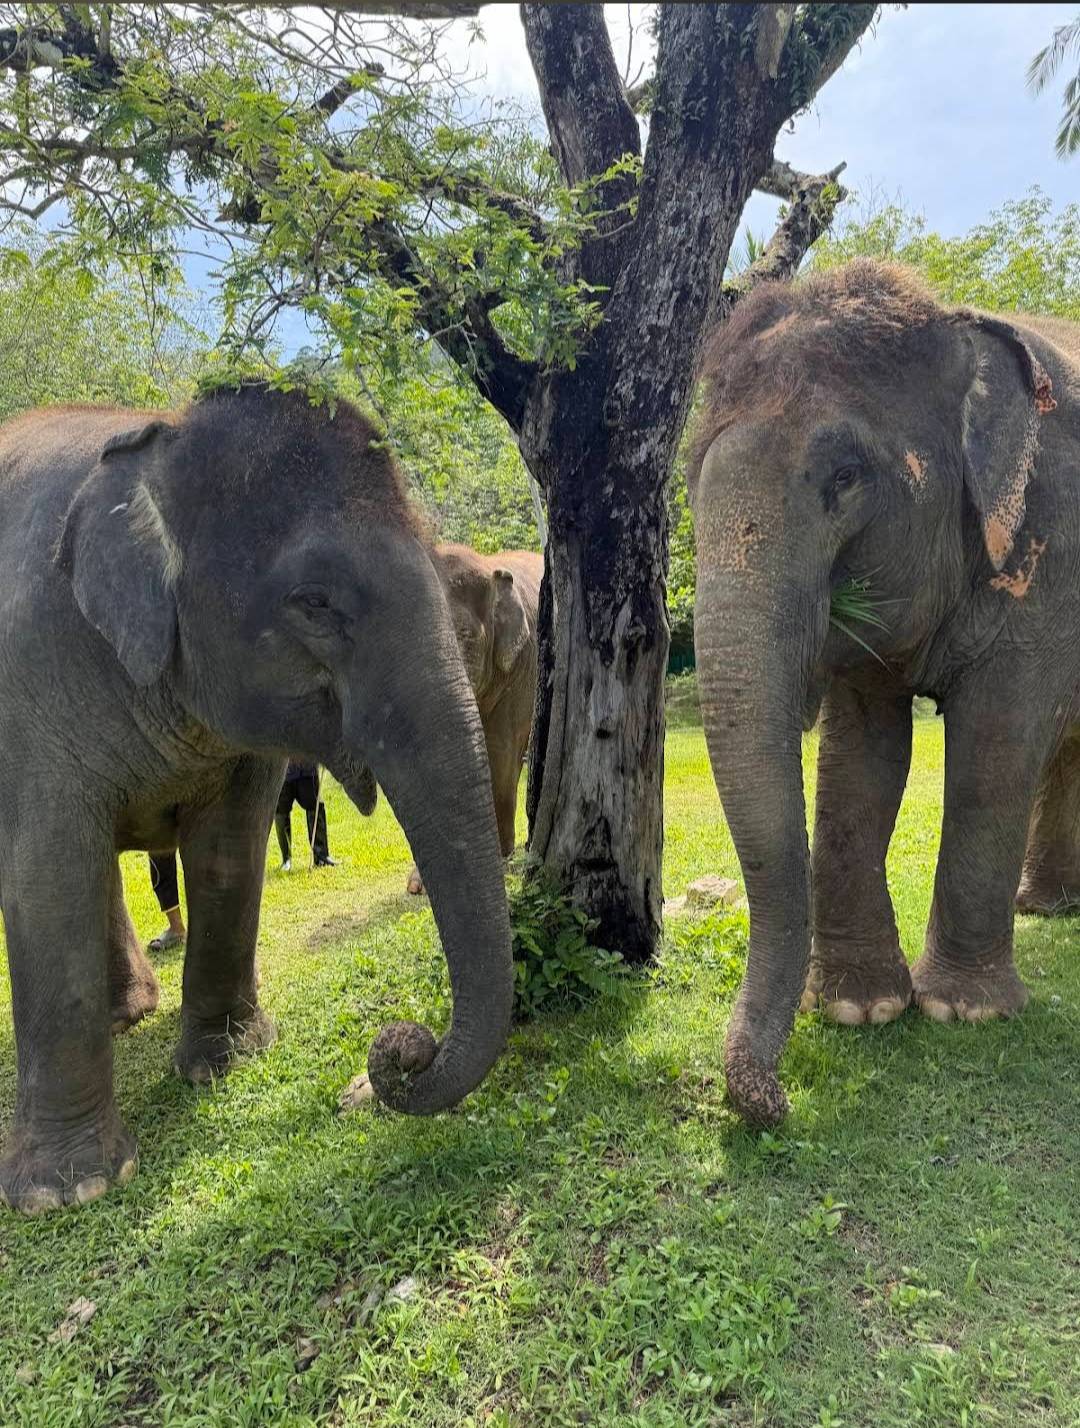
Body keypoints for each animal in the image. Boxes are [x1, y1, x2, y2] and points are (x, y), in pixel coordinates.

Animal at [0, 384, 513, 1213]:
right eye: (314, 602)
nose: (405, 1047)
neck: (156, 440)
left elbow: (228, 853)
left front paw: (230, 1060)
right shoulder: (27, 678)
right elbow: (47, 874)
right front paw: (70, 1190)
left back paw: (129, 1016)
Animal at [687, 258, 1080, 1127]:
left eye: (845, 478)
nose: (774, 1101)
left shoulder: (1051, 547)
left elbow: (996, 745)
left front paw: (965, 1012)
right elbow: (858, 757)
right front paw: (856, 1010)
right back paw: (1047, 909)